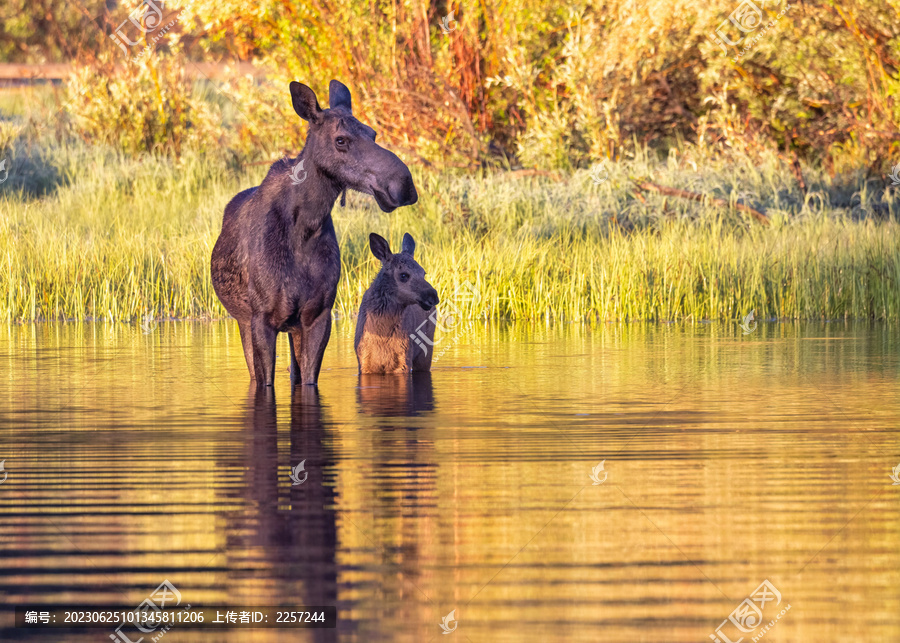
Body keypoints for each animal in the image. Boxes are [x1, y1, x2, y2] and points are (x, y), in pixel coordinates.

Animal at [213, 83, 420, 390]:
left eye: (372, 133)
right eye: (341, 140)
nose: (404, 184)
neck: (304, 228)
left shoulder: (318, 316)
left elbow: (308, 380)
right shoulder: (262, 319)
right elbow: (265, 382)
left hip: (291, 327)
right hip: (244, 321)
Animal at [356, 234, 440, 374]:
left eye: (424, 273)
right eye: (404, 275)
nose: (433, 296)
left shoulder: (403, 361)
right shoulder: (364, 363)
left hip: (426, 352)